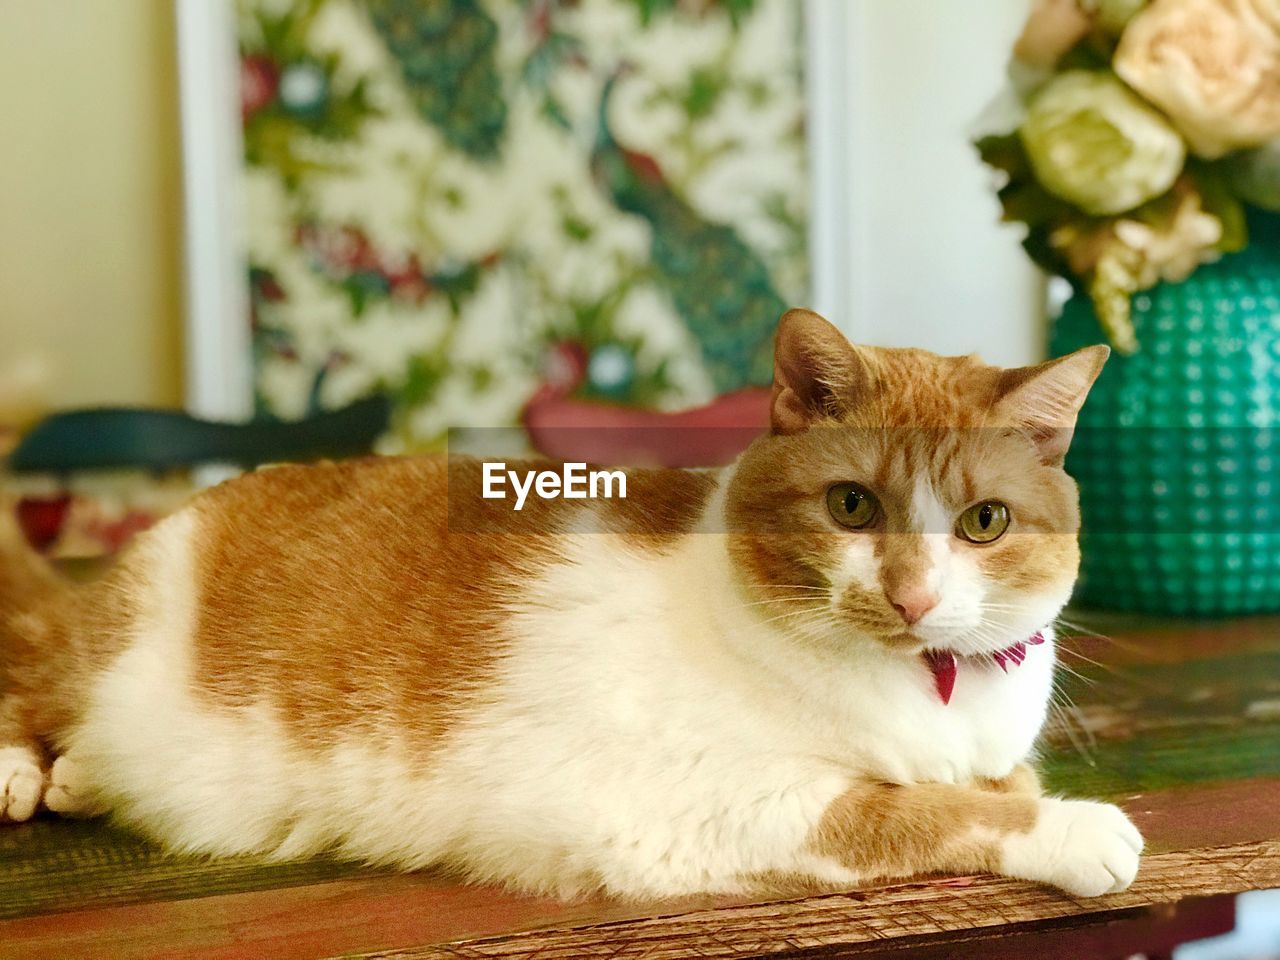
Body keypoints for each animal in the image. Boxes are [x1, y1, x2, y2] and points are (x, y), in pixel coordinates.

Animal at [0, 312, 1141, 906]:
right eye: (851, 506)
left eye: (984, 522)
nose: (911, 595)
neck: (926, 692)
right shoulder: (704, 809)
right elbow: (920, 813)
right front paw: (1077, 829)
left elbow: (989, 782)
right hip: (102, 649)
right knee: (32, 684)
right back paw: (26, 771)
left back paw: (85, 774)